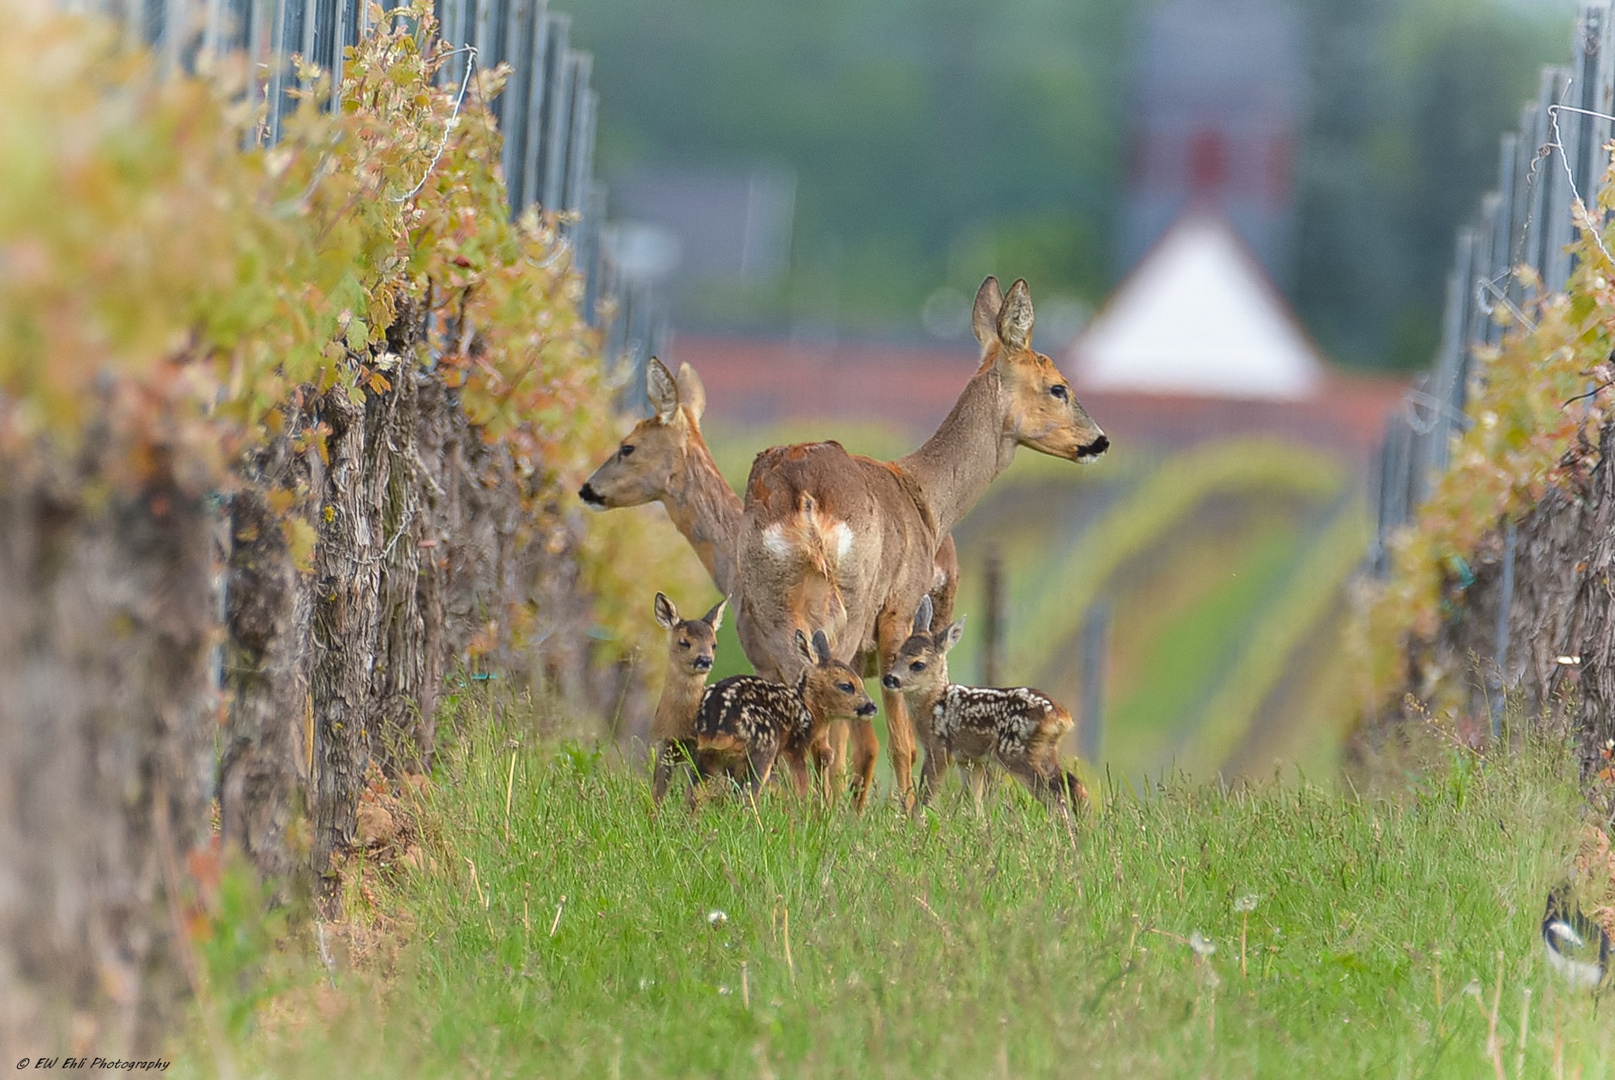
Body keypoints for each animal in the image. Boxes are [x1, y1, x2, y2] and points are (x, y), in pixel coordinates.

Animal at [736, 274, 1104, 803]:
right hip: (854, 595)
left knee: (801, 700)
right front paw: (905, 809)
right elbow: (901, 740)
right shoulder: (899, 609)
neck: (926, 497)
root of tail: (801, 492)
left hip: (768, 601)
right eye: (1059, 387)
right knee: (835, 711)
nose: (1099, 441)